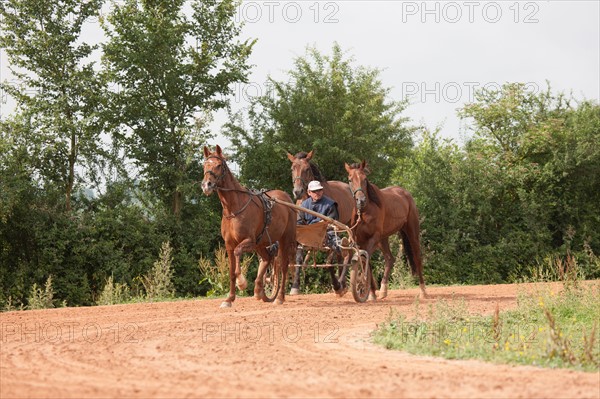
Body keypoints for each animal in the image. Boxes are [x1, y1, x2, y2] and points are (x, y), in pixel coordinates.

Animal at [202, 145, 296, 308]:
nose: (207, 185)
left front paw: (242, 282)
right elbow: (231, 271)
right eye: (204, 165)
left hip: (285, 239)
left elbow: (238, 253)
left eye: (218, 165)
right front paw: (229, 299)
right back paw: (259, 289)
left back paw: (279, 297)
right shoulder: (229, 244)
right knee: (267, 258)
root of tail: (287, 199)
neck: (234, 208)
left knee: (283, 265)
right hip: (261, 242)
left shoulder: (248, 241)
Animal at [288, 152, 356, 296]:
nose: (298, 191)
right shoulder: (303, 231)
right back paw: (342, 283)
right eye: (292, 168)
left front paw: (337, 285)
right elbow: (299, 259)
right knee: (340, 255)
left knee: (346, 252)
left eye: (307, 169)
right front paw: (295, 286)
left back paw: (340, 283)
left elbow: (329, 261)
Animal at [344, 161, 428, 298]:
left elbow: (365, 259)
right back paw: (383, 290)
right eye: (350, 179)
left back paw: (423, 291)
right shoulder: (360, 241)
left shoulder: (374, 238)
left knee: (417, 258)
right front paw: (371, 293)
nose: (361, 200)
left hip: (411, 232)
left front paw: (363, 284)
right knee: (389, 258)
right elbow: (367, 262)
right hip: (384, 238)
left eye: (365, 179)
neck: (364, 213)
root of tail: (406, 193)